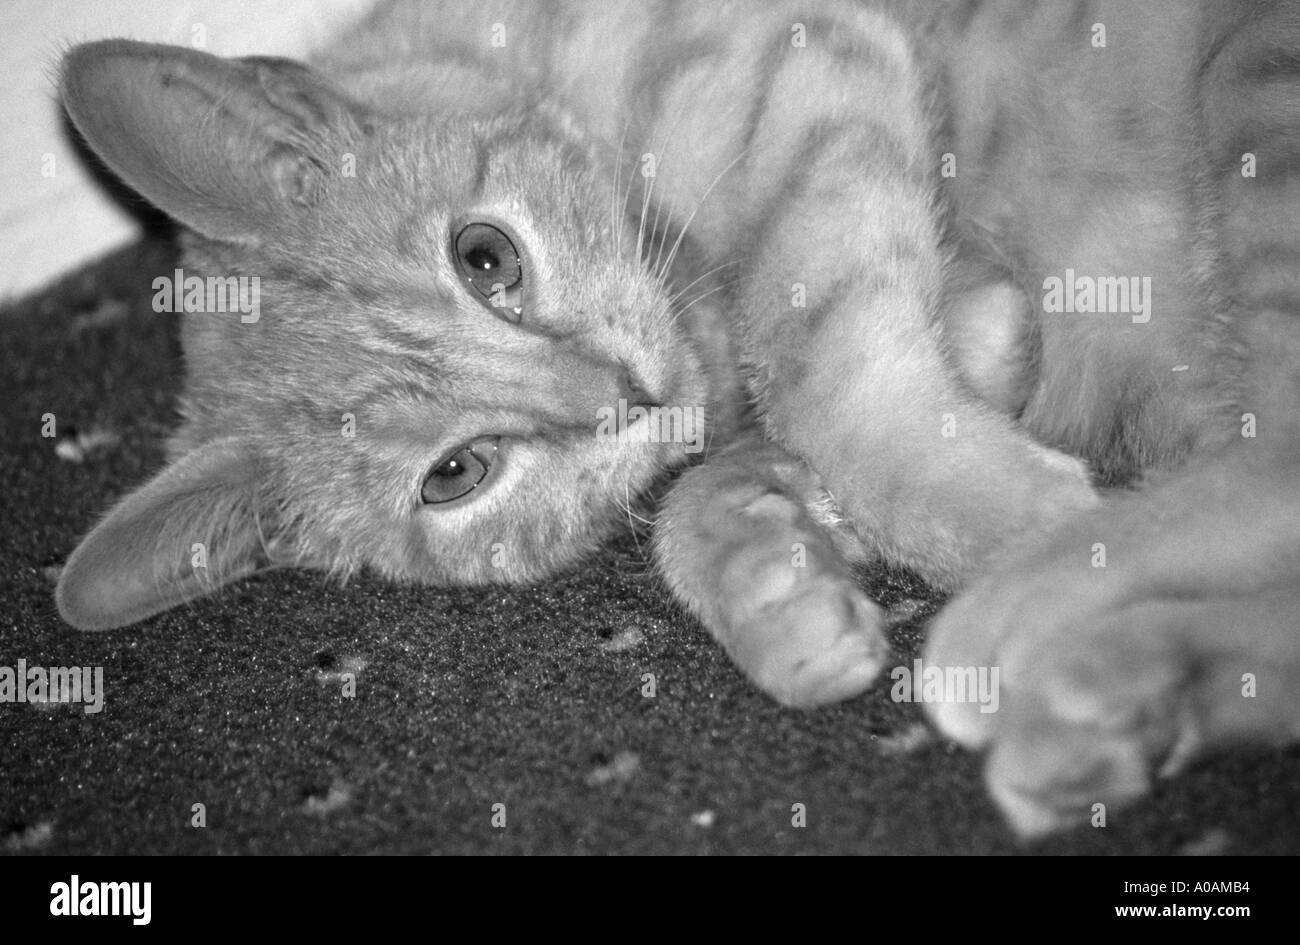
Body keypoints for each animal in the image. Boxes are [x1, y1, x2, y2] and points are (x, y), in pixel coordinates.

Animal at [53, 1, 1300, 842]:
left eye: (484, 257)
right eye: (457, 473)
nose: (622, 397)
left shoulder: (808, 65)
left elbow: (815, 362)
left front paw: (986, 504)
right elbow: (720, 479)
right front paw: (774, 589)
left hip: (1257, 85)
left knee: (1267, 470)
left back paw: (1025, 598)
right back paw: (1104, 701)